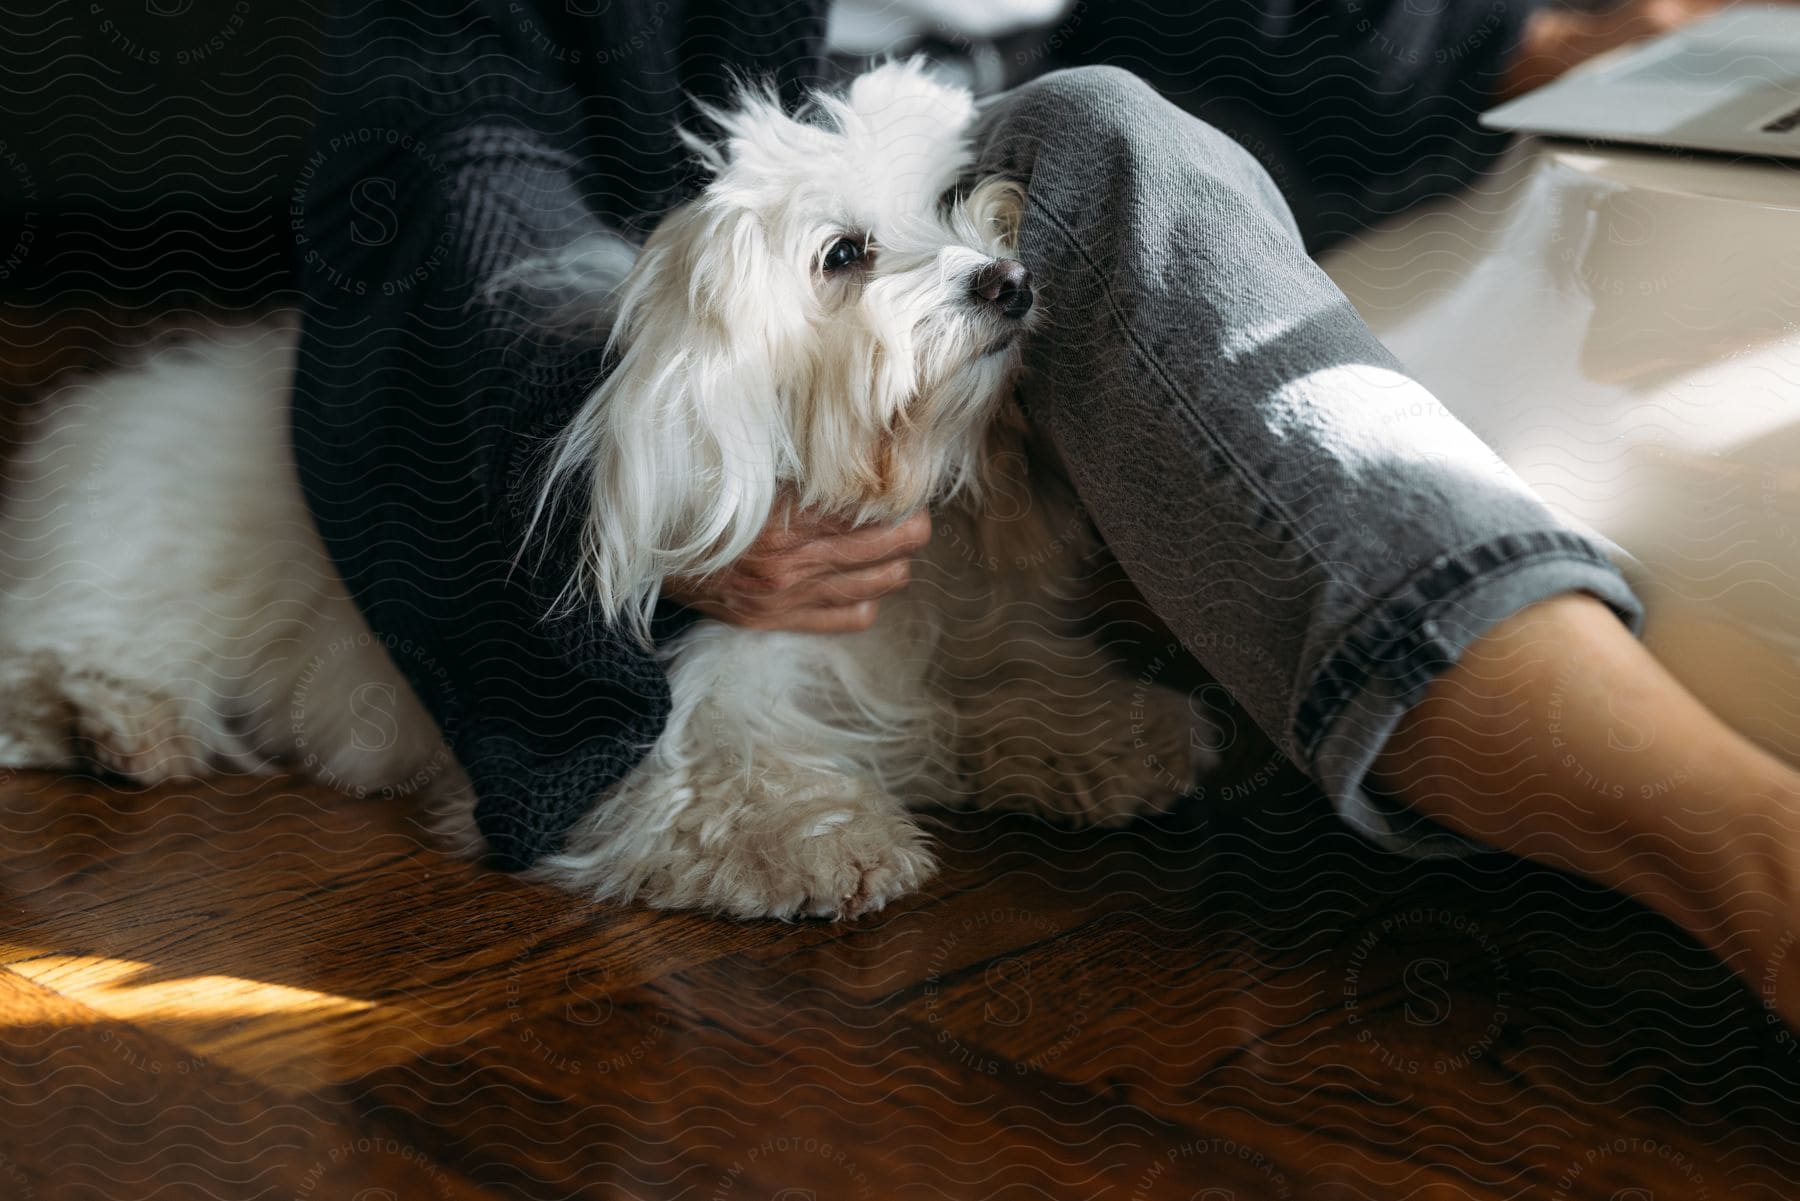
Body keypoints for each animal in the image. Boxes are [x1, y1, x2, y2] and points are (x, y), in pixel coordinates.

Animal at [0, 63, 1216, 921]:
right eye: (844, 255)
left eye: (954, 202)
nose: (1007, 280)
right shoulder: (662, 731)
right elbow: (725, 779)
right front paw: (825, 839)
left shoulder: (955, 639)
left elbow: (1010, 678)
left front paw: (1118, 733)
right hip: (148, 573)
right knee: (50, 655)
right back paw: (124, 726)